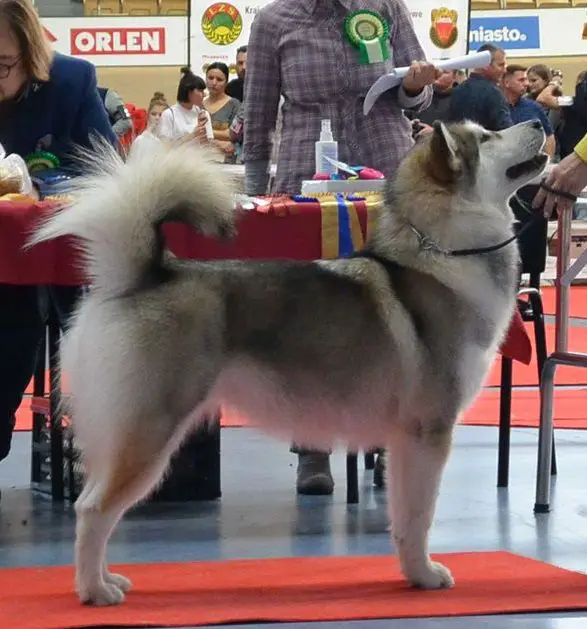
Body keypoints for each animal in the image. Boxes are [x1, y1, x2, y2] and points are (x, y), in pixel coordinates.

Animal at [31, 118, 548, 604]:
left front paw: (410, 573)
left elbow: (403, 518)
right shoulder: (429, 433)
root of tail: (145, 276)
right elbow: (420, 516)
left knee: (92, 504)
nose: (541, 123)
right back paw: (94, 591)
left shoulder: (402, 442)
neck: (445, 253)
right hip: (149, 431)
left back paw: (105, 579)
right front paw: (425, 575)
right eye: (486, 137)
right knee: (92, 510)